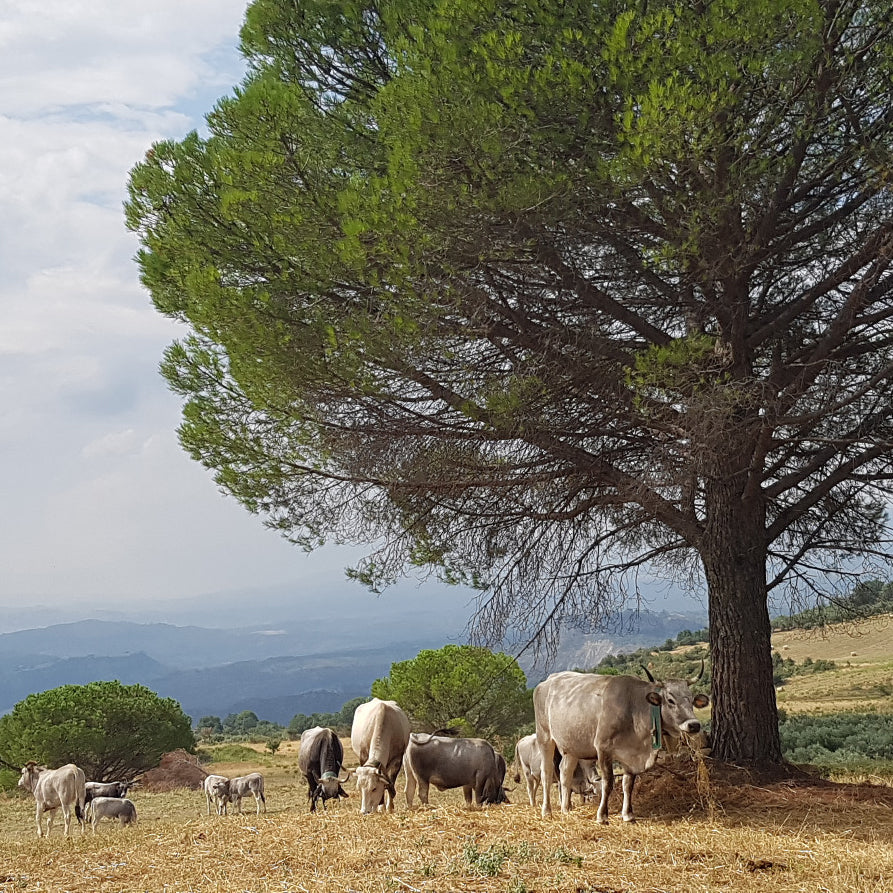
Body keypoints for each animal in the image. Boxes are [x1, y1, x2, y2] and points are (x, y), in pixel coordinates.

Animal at [532, 664, 708, 824]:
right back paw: (547, 811)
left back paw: (565, 809)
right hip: (545, 737)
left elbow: (628, 784)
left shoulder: (631, 754)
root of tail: (548, 680)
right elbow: (608, 783)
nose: (694, 725)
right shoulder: (603, 749)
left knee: (565, 773)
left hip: (572, 746)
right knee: (546, 773)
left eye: (691, 699)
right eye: (670, 700)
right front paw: (602, 816)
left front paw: (628, 815)